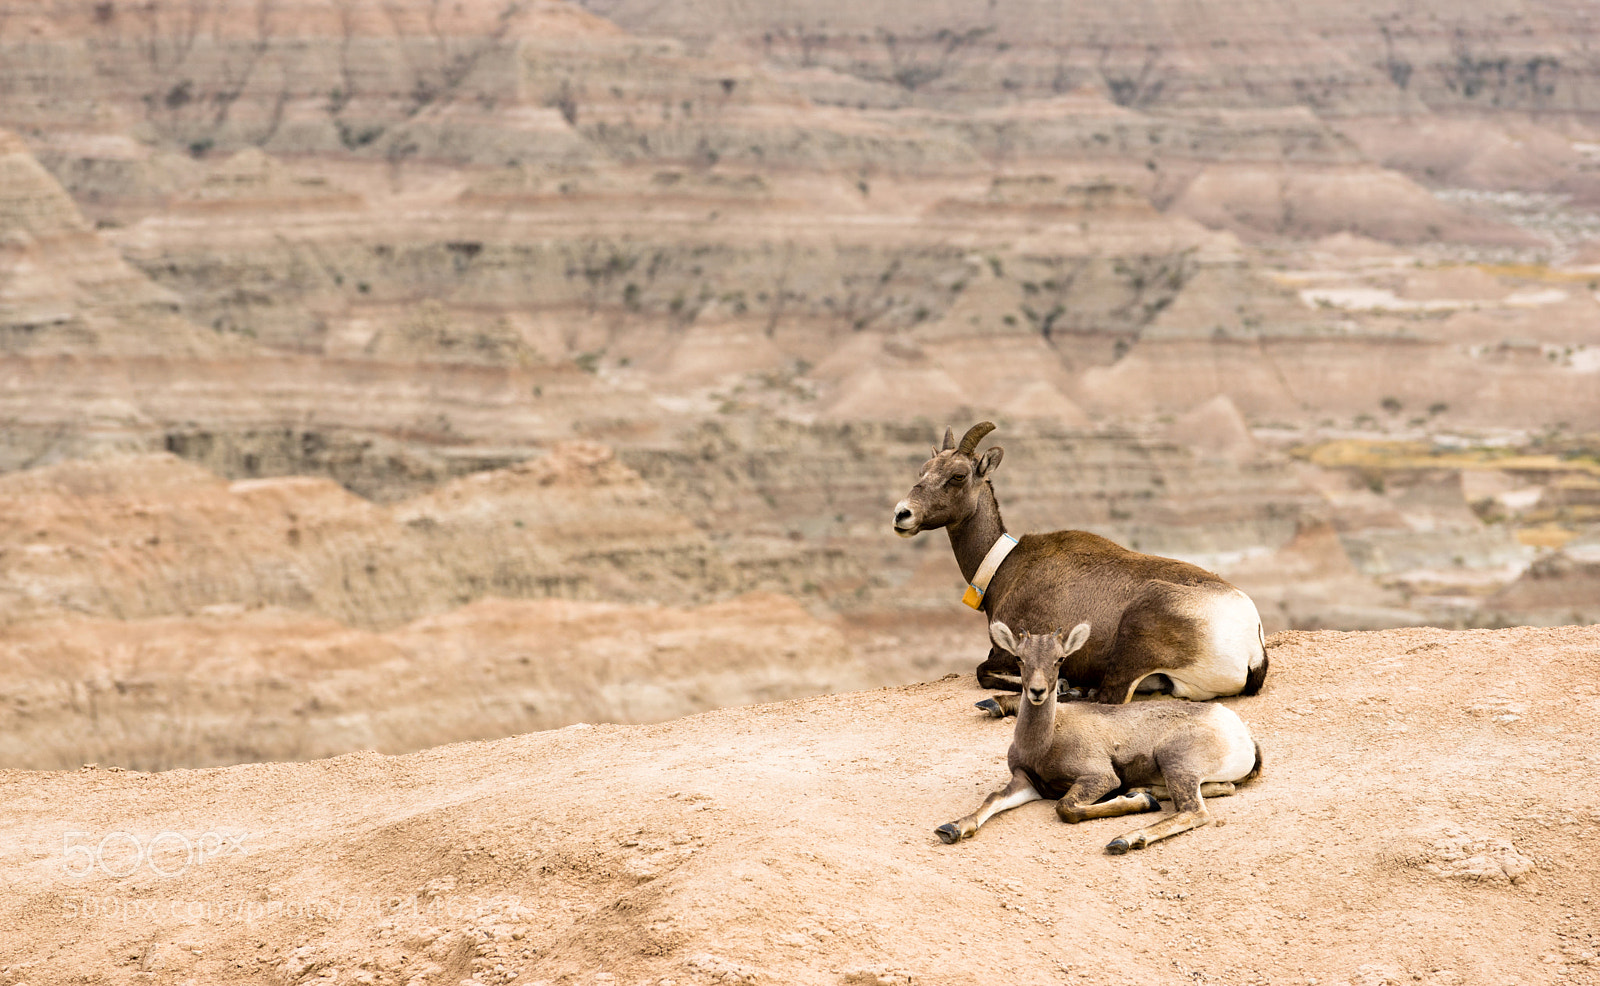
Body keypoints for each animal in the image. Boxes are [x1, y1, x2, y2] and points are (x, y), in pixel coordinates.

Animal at [892, 421, 1268, 704]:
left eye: (958, 475)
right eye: (924, 470)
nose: (902, 514)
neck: (1004, 568)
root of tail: (1250, 645)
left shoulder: (1008, 652)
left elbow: (984, 673)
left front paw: (1059, 683)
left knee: (1109, 697)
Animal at [935, 621, 1262, 854]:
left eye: (1060, 658)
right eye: (1019, 658)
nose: (1038, 691)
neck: (1044, 743)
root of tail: (1241, 734)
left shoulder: (1098, 778)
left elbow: (1066, 807)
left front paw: (1140, 804)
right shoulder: (1026, 782)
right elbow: (993, 799)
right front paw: (951, 829)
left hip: (1176, 764)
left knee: (1193, 812)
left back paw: (1126, 837)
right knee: (1224, 788)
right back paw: (1144, 793)